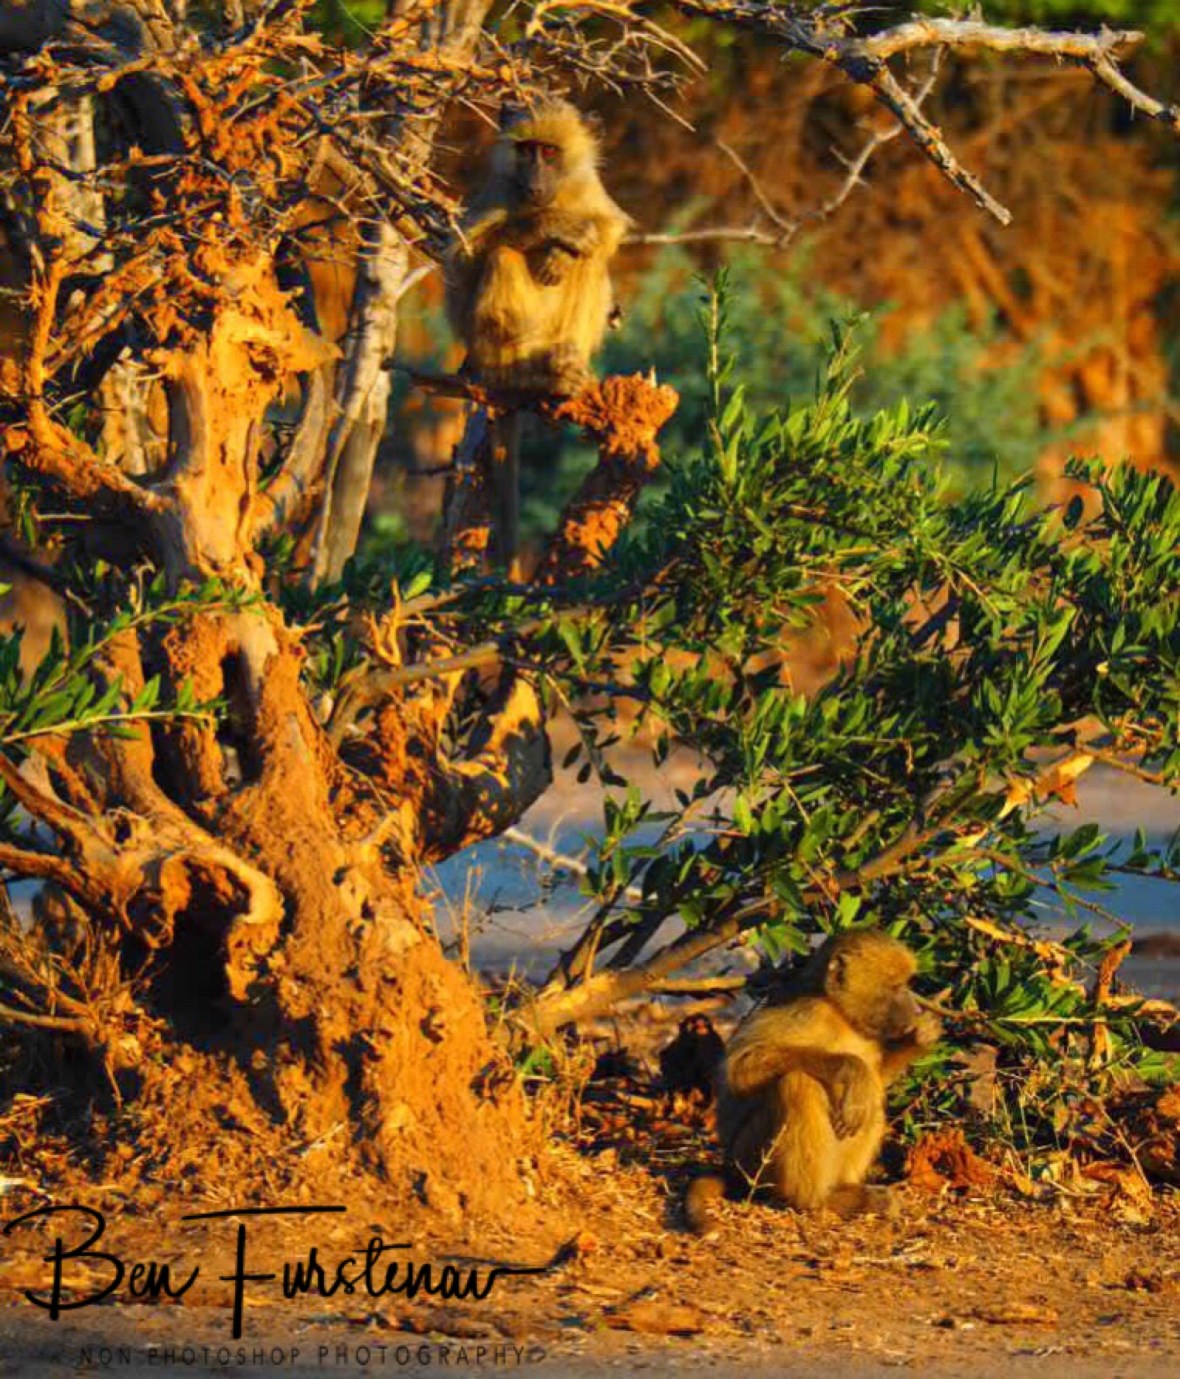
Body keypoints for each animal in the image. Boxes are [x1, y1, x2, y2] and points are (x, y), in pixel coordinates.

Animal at [444, 99, 631, 569]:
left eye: (549, 152)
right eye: (526, 151)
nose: (534, 183)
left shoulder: (589, 189)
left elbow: (606, 230)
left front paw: (560, 254)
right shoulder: (499, 193)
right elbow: (462, 260)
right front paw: (553, 229)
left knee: (592, 263)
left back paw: (565, 371)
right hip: (486, 347)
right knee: (502, 254)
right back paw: (528, 374)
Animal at [685, 929, 942, 1234]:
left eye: (905, 984)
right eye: (895, 986)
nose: (914, 1009)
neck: (839, 1012)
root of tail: (732, 1167)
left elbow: (878, 1078)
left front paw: (920, 1039)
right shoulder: (808, 1011)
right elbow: (740, 1066)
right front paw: (851, 1069)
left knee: (871, 1101)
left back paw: (850, 1192)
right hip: (751, 1160)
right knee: (799, 1083)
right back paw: (818, 1200)